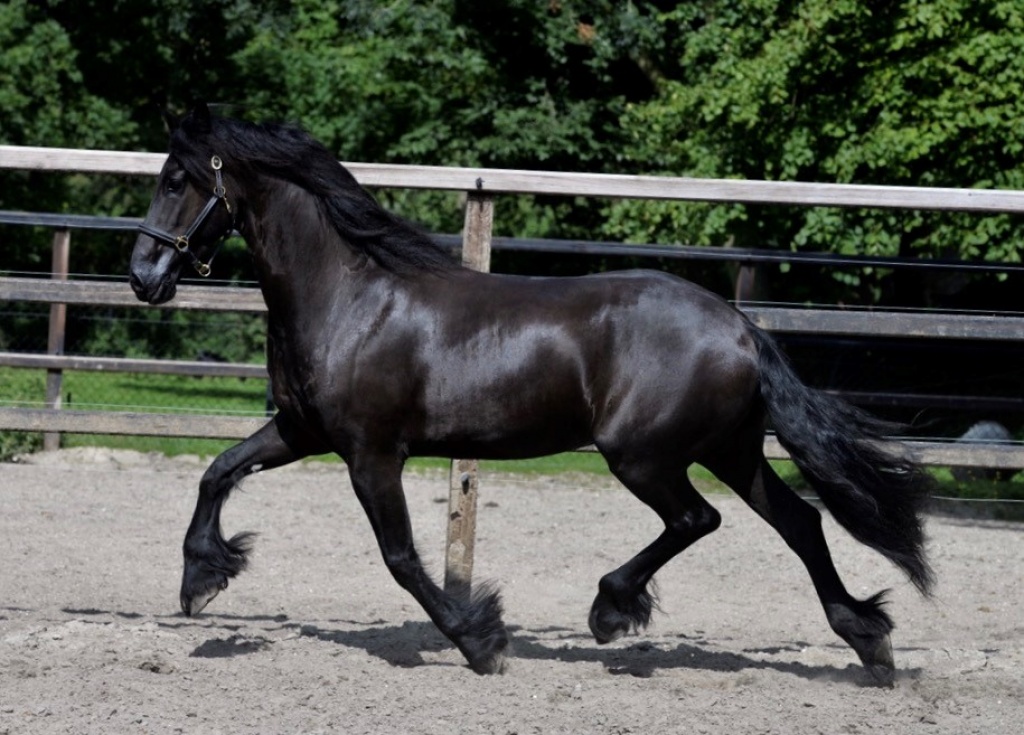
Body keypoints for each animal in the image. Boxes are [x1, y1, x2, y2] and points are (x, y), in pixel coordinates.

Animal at [130, 104, 933, 685]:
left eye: (174, 180)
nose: (144, 276)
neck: (350, 297)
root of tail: (740, 328)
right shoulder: (302, 431)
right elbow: (217, 471)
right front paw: (201, 579)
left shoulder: (370, 453)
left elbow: (400, 557)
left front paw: (481, 640)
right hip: (730, 451)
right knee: (800, 521)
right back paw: (869, 641)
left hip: (643, 456)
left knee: (697, 519)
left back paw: (611, 610)